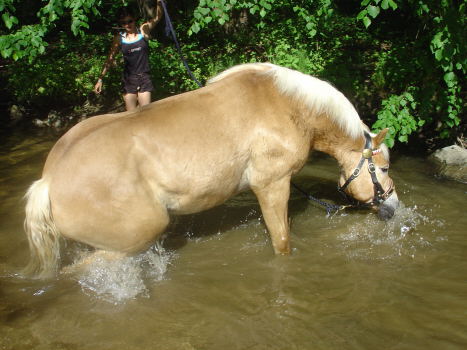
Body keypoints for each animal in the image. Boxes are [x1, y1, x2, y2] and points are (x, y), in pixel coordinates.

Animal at [23, 61, 400, 278]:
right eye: (381, 168)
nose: (394, 207)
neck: (288, 106)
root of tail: (50, 181)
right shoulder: (273, 184)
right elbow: (281, 242)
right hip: (135, 237)